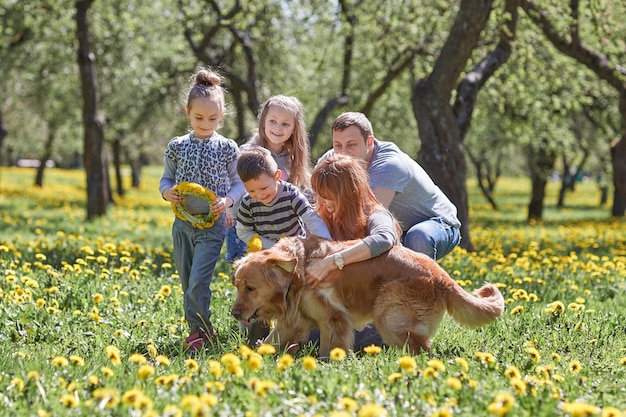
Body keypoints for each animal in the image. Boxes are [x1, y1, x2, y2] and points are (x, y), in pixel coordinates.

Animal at [229, 236, 502, 356]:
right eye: (237, 286)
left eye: (250, 288)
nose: (234, 313)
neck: (298, 272)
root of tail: (442, 276)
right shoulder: (294, 320)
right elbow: (270, 341)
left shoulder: (334, 319)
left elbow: (330, 349)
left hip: (389, 317)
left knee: (422, 349)